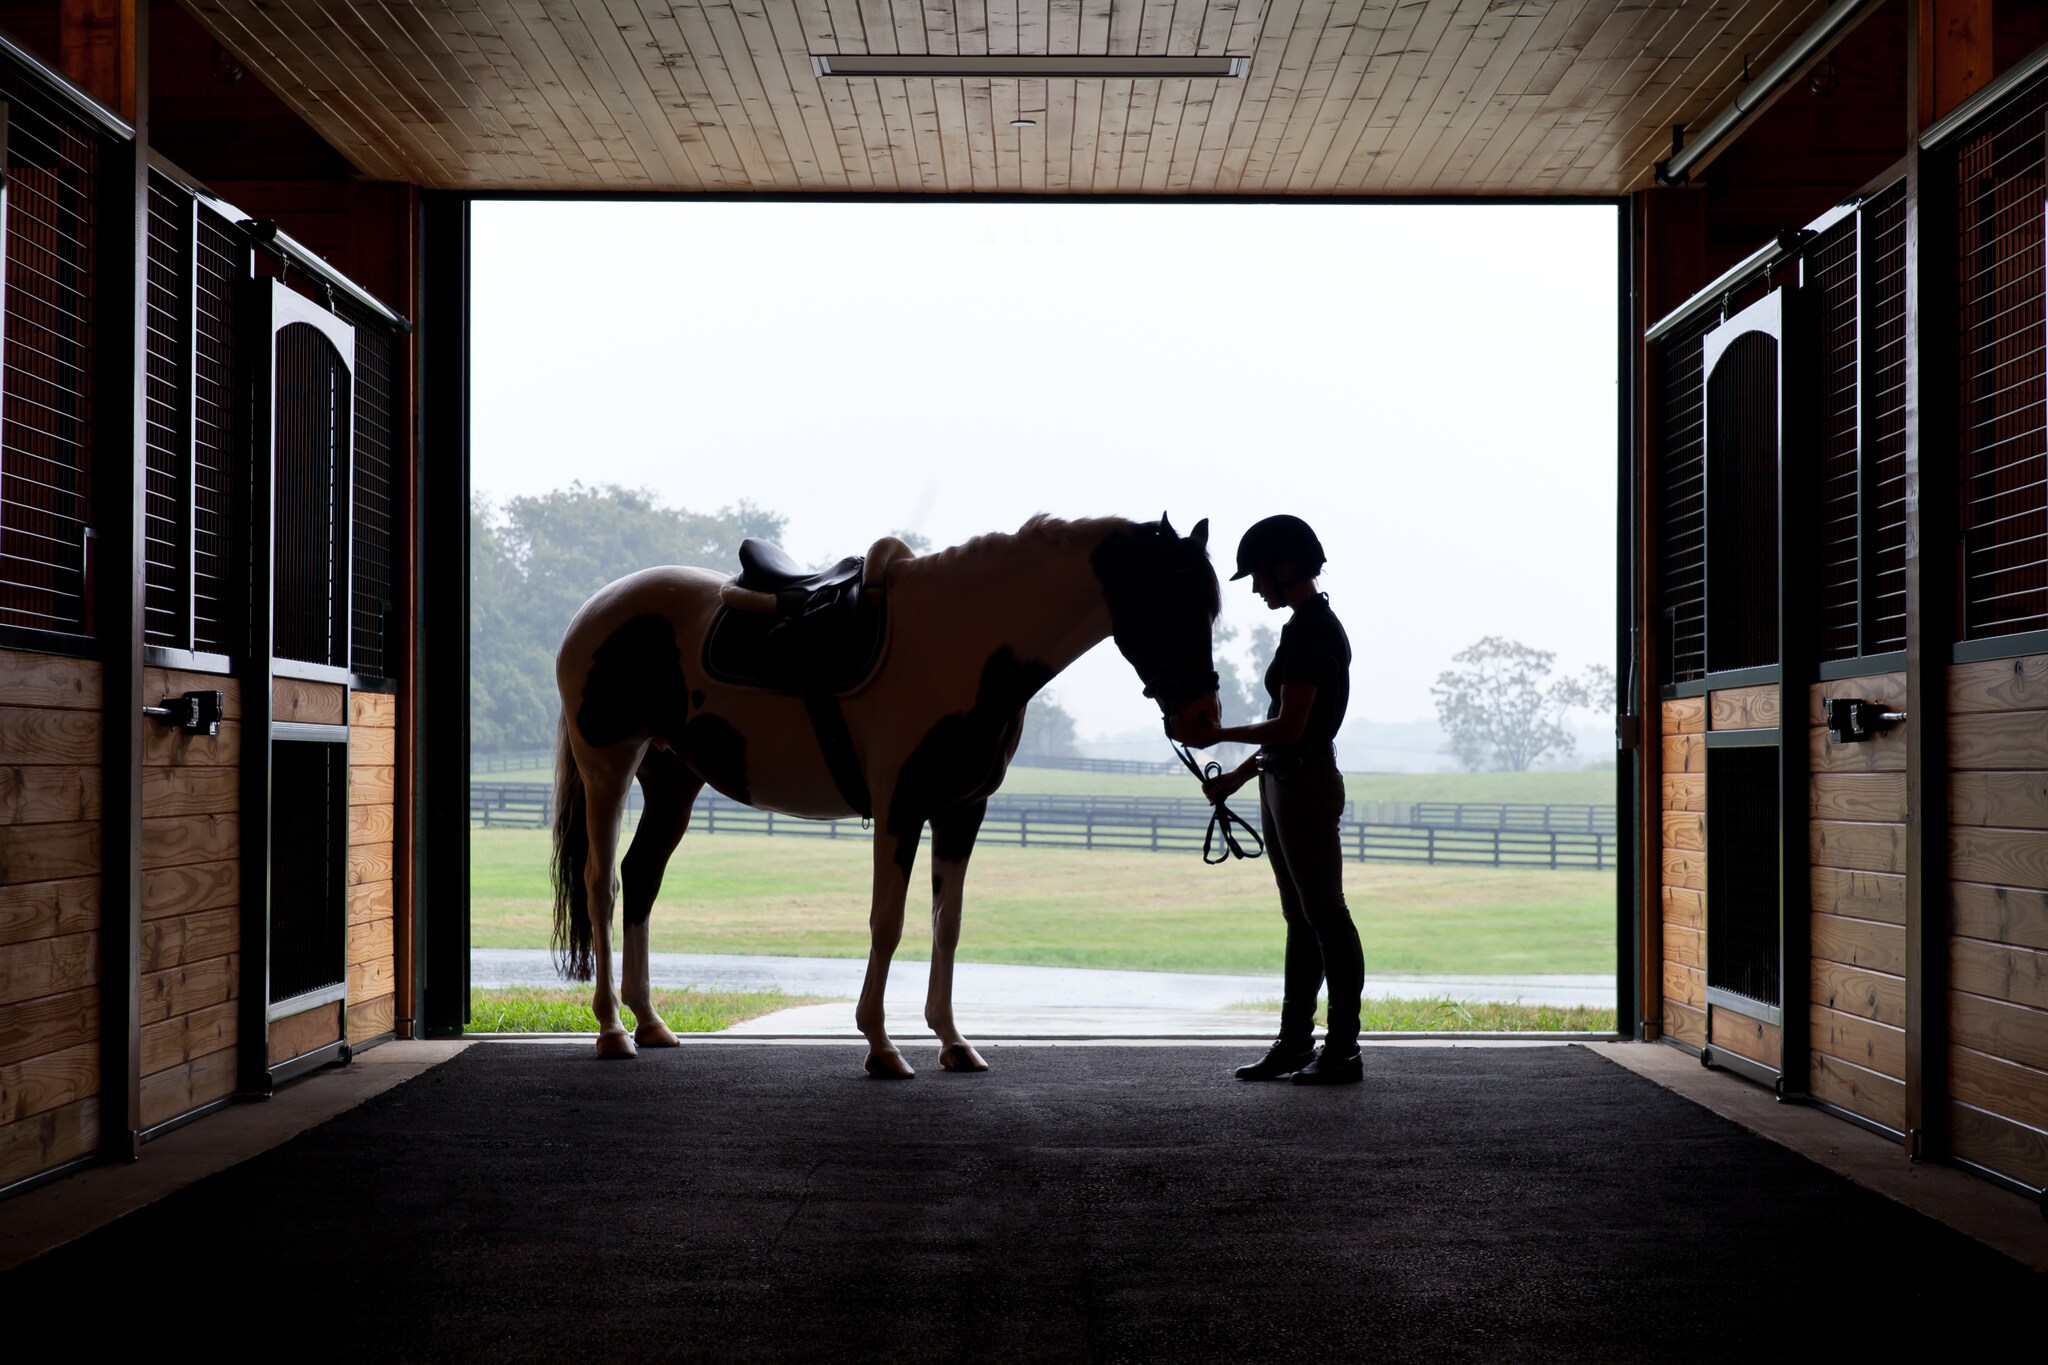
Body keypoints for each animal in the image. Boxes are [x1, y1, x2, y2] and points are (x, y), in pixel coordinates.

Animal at [549, 513, 1221, 1076]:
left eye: (1209, 609)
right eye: (1170, 601)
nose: (1203, 720)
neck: (962, 641)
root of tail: (597, 608)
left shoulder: (961, 811)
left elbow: (946, 923)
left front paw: (953, 1041)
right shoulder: (901, 806)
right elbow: (888, 922)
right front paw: (881, 1045)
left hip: (672, 781)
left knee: (641, 877)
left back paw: (650, 1023)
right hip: (608, 767)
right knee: (602, 885)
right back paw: (612, 1032)